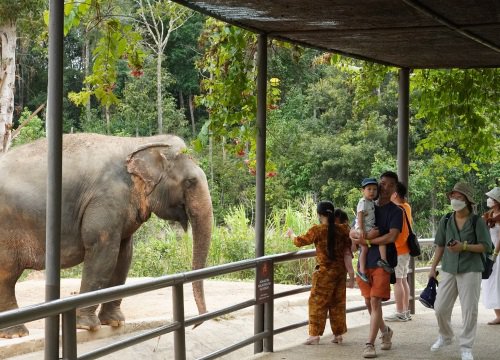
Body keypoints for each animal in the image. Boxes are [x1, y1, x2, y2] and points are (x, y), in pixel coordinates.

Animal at [0, 132, 213, 338]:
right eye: (190, 182)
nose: (197, 323)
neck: (141, 142)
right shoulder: (106, 199)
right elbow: (103, 254)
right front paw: (88, 326)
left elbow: (124, 256)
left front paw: (115, 322)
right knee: (7, 275)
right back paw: (16, 333)